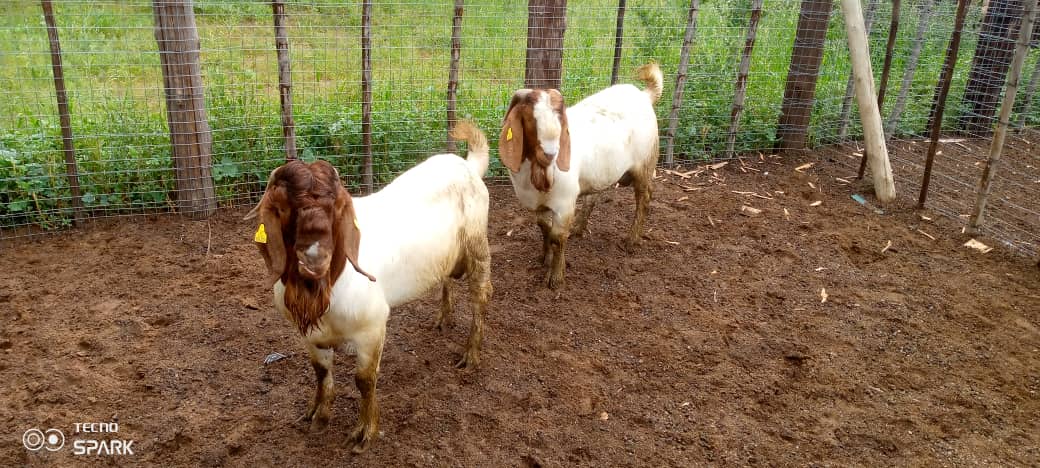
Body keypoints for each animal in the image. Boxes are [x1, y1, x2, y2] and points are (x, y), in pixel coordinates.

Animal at [246, 121, 490, 453]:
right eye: (284, 208)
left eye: (335, 209)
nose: (315, 258)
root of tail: (467, 165)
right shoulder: (309, 335)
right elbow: (321, 373)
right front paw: (317, 414)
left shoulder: (372, 328)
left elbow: (364, 380)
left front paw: (365, 432)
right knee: (447, 280)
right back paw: (443, 319)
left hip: (478, 247)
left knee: (480, 298)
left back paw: (471, 355)